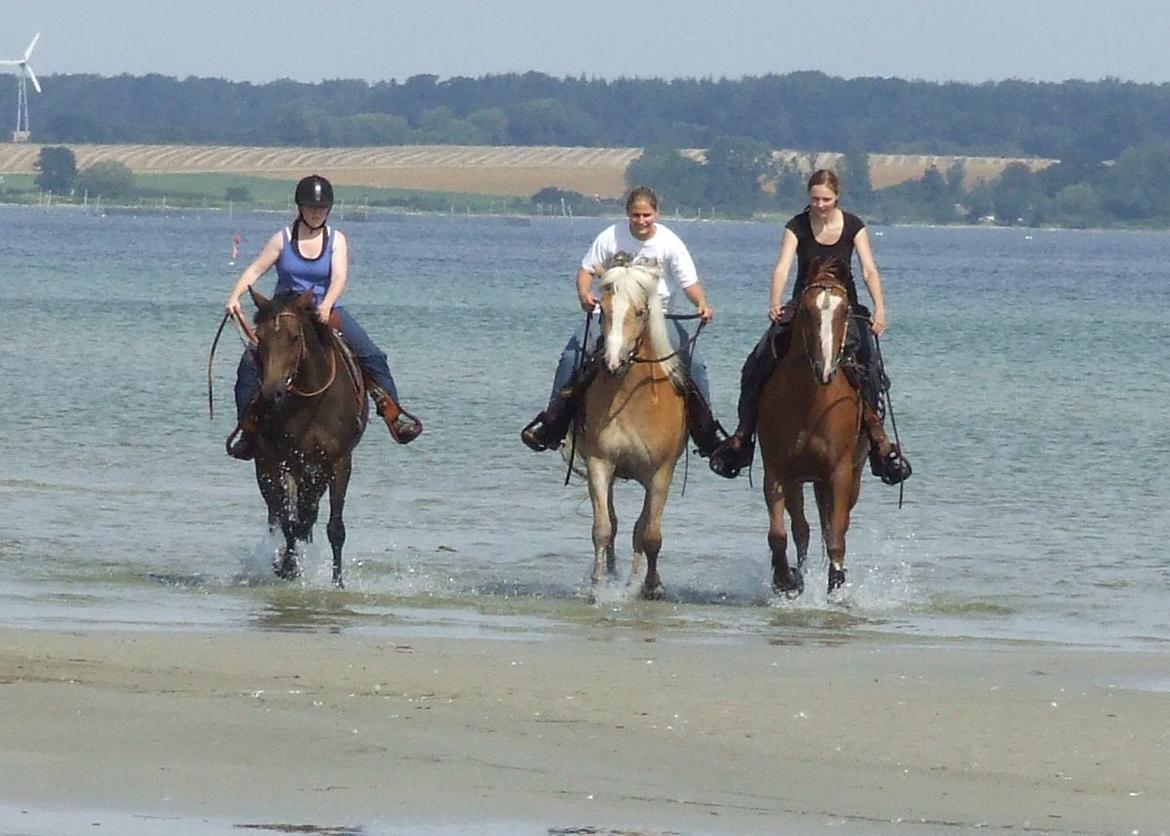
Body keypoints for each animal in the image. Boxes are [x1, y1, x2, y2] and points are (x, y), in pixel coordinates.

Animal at [249, 287, 367, 589]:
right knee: (276, 515)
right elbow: (289, 522)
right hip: (265, 465)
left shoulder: (338, 462)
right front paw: (288, 568)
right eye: (259, 337)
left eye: (294, 337)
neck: (311, 402)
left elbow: (334, 527)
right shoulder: (285, 460)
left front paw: (338, 582)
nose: (272, 393)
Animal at [570, 261, 687, 596]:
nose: (613, 362)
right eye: (604, 310)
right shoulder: (599, 464)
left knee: (641, 529)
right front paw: (597, 585)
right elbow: (602, 528)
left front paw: (650, 586)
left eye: (640, 312)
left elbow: (650, 535)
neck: (631, 402)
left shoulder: (661, 474)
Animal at [758, 258, 870, 591]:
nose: (824, 369)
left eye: (844, 311)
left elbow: (836, 534)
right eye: (807, 311)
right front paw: (786, 579)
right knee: (804, 529)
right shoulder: (778, 471)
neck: (811, 403)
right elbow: (780, 533)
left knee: (835, 525)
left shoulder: (839, 472)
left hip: (849, 476)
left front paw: (835, 583)